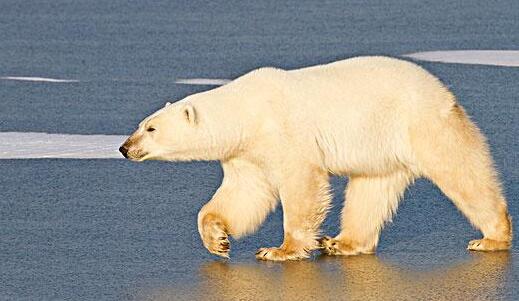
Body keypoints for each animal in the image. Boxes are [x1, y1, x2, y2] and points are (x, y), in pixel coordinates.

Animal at [121, 56, 512, 260]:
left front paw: (280, 249)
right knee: (369, 193)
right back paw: (342, 242)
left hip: (422, 125)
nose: (124, 147)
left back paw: (491, 237)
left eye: (151, 128)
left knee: (462, 172)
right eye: (140, 125)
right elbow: (244, 195)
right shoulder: (246, 153)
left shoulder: (283, 132)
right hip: (380, 149)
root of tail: (443, 91)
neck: (245, 111)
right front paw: (217, 239)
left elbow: (301, 184)